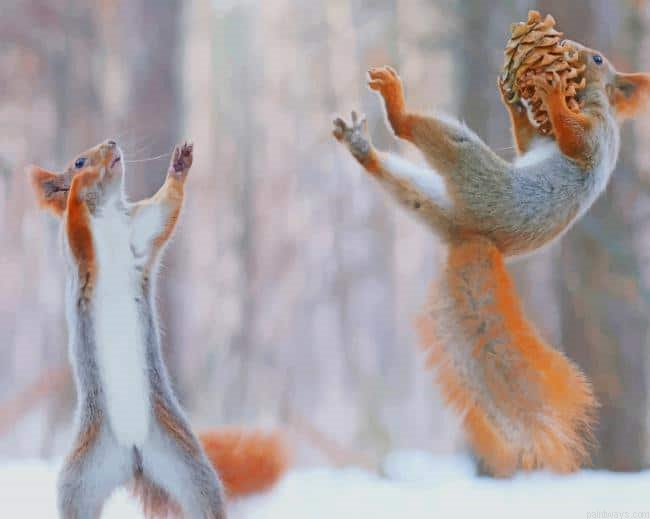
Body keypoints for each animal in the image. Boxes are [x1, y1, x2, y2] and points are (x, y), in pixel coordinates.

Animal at [29, 141, 288, 517]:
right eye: (77, 161)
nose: (112, 144)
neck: (106, 214)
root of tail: (134, 454)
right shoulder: (78, 254)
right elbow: (76, 224)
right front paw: (80, 184)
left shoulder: (140, 232)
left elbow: (166, 209)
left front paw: (180, 165)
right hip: (80, 481)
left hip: (185, 462)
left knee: (203, 498)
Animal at [332, 42, 650, 476]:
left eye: (599, 59)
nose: (572, 49)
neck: (589, 99)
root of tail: (474, 238)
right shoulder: (540, 142)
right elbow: (527, 141)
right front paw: (515, 103)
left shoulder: (595, 136)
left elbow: (573, 139)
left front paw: (551, 96)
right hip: (430, 200)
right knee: (401, 182)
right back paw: (362, 148)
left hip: (475, 171)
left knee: (415, 132)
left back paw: (396, 106)